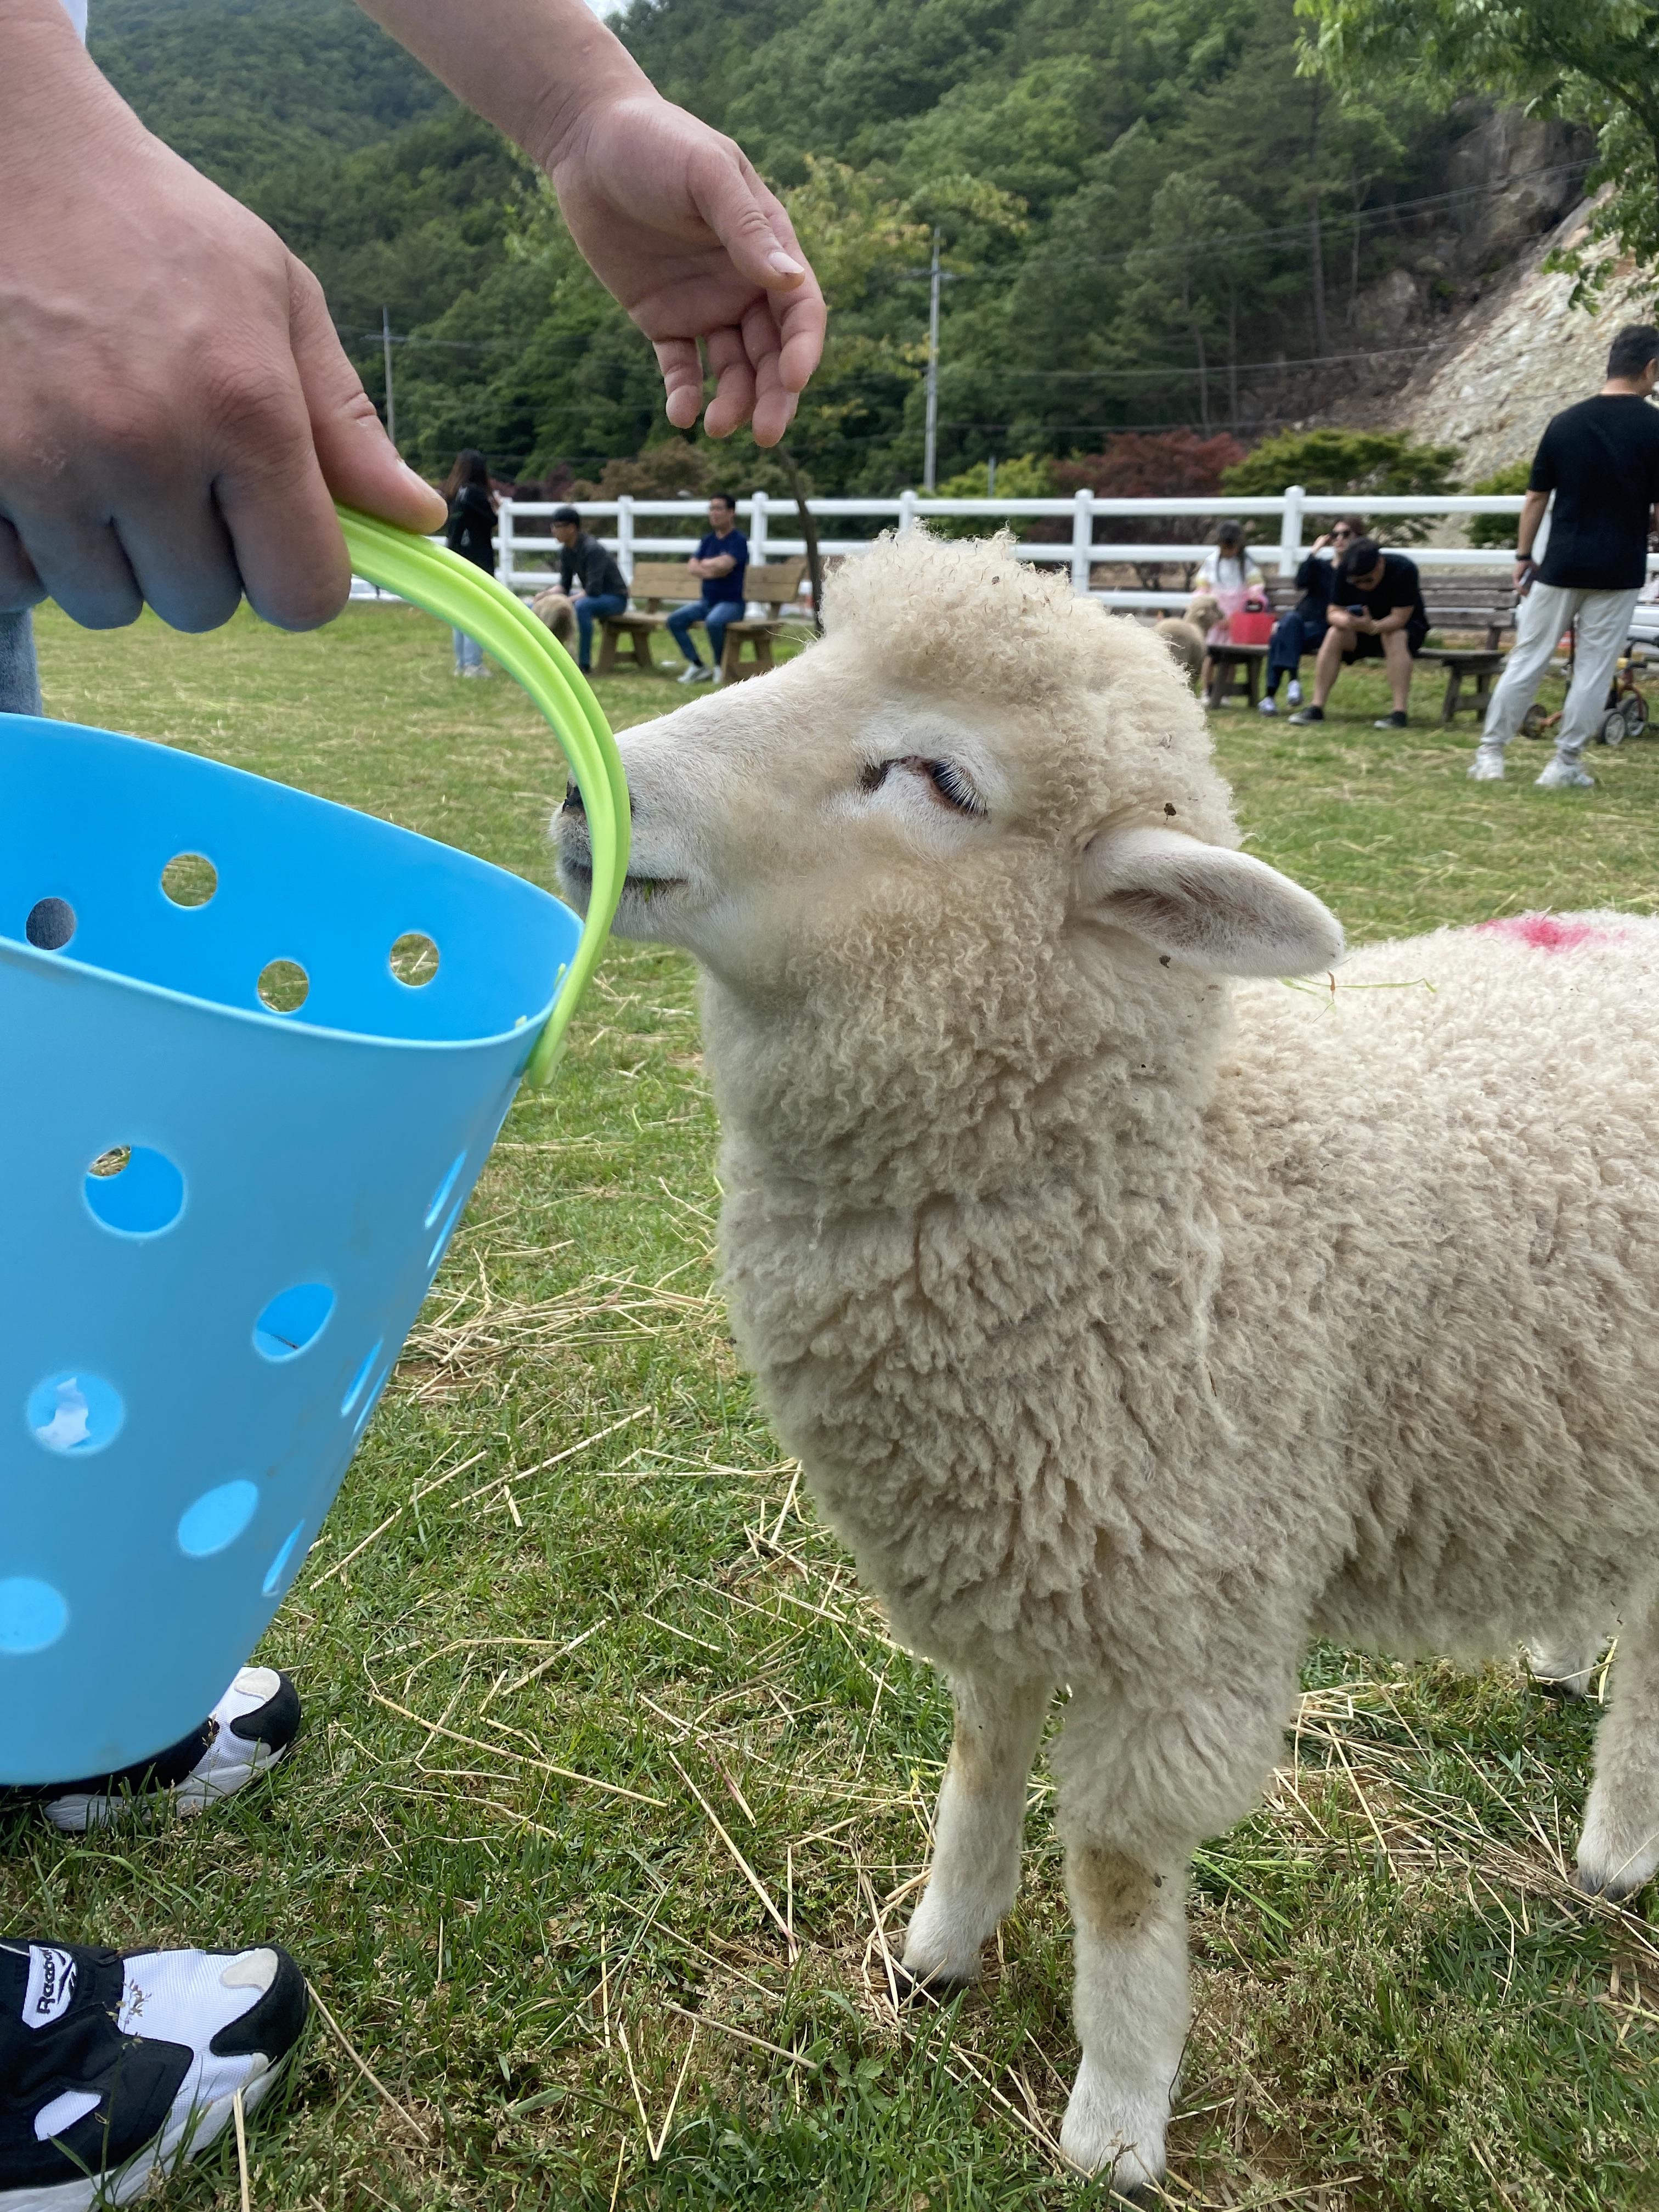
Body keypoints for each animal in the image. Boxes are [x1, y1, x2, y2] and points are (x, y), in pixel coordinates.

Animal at [555, 531, 1659, 2194]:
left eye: (937, 775)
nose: (585, 793)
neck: (1162, 1176)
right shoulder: (1008, 1540)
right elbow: (979, 1753)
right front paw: (938, 1946)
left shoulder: (1182, 1614)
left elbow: (1124, 1870)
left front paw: (1117, 2114)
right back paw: (1557, 1656)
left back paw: (1617, 1846)